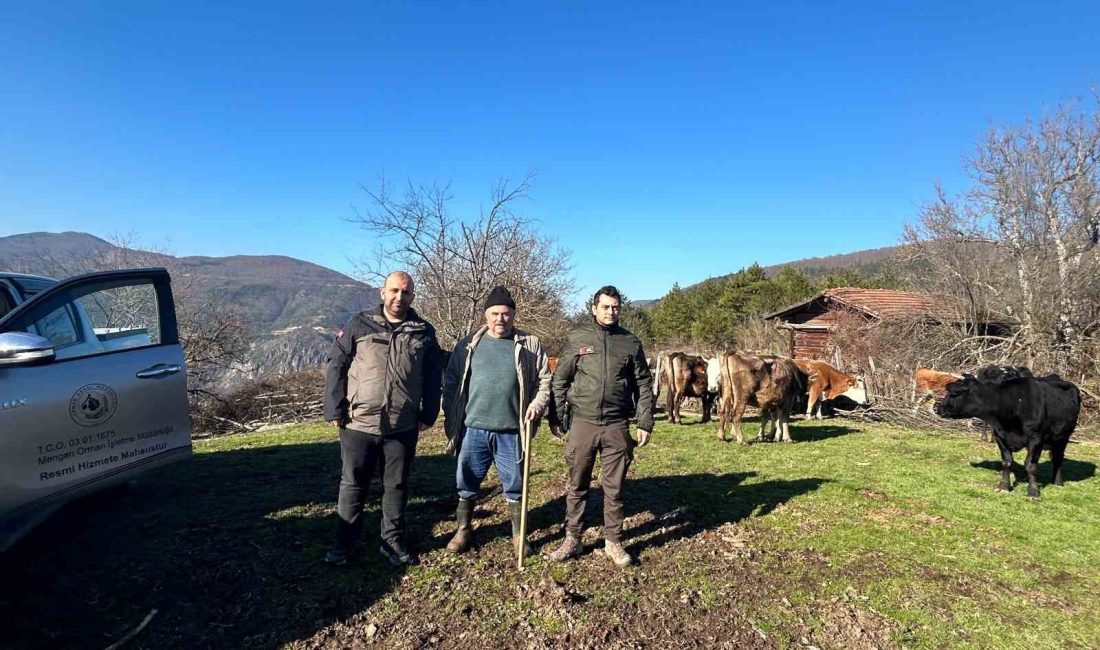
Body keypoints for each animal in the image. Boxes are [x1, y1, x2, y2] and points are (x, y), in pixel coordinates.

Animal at [937, 365, 1082, 499]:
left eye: (954, 393)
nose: (939, 408)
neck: (1014, 404)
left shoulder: (1036, 439)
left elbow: (1030, 465)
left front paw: (1033, 492)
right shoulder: (1000, 436)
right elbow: (1006, 462)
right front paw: (1004, 486)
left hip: (1063, 437)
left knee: (1058, 458)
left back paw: (1057, 482)